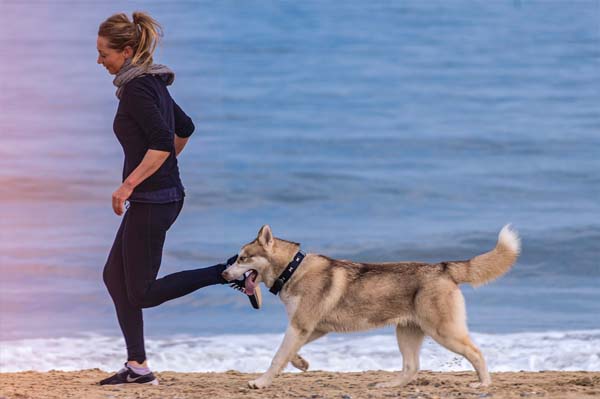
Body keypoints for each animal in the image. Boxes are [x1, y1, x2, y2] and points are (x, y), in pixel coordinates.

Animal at [223, 225, 524, 390]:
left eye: (242, 258)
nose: (224, 274)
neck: (292, 269)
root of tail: (443, 266)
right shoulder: (310, 328)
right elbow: (289, 353)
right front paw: (300, 363)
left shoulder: (300, 325)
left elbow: (277, 356)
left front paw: (260, 382)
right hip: (407, 332)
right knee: (411, 367)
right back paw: (389, 385)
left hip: (444, 332)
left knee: (476, 353)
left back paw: (483, 383)